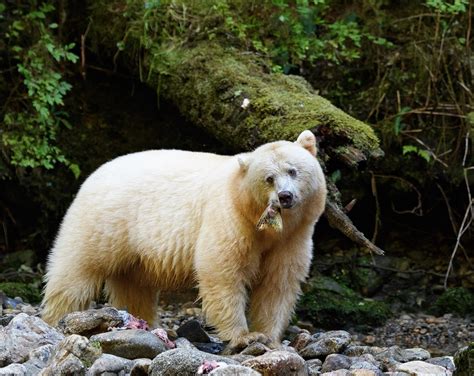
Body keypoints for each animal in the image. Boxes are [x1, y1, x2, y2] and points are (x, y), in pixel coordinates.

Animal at [41, 131, 326, 348]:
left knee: (133, 286)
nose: (285, 196)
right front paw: (245, 336)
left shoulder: (293, 239)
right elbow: (222, 270)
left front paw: (270, 337)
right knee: (76, 271)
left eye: (293, 170)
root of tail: (94, 174)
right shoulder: (230, 218)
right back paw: (57, 319)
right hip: (105, 221)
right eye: (269, 178)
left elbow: (278, 283)